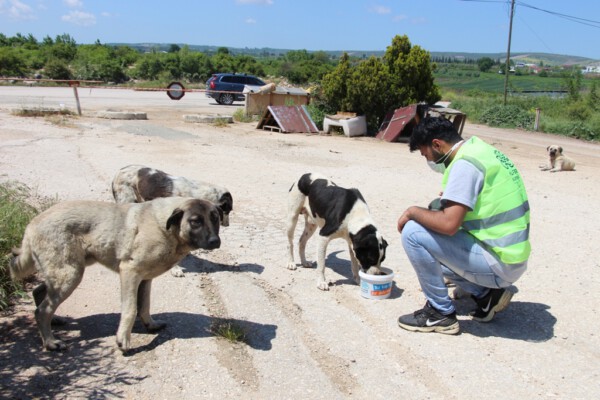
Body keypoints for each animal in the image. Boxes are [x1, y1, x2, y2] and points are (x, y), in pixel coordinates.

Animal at [9, 198, 221, 352]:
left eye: (216, 219)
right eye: (195, 221)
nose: (215, 241)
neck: (167, 229)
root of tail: (32, 224)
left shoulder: (145, 279)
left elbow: (144, 306)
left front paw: (150, 325)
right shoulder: (130, 272)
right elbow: (130, 309)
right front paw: (123, 339)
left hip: (64, 272)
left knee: (38, 294)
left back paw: (54, 321)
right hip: (70, 275)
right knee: (42, 310)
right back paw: (51, 342)